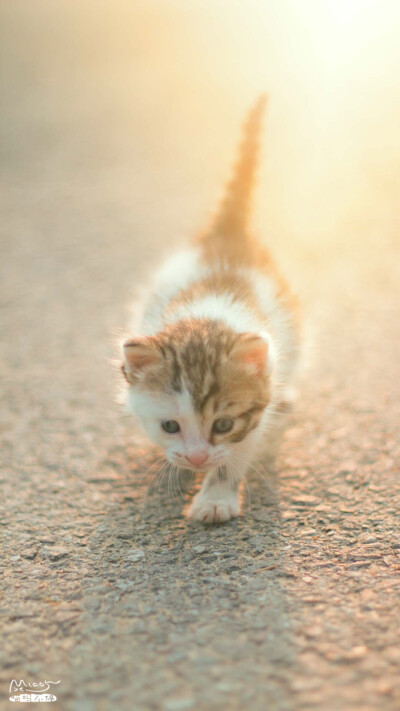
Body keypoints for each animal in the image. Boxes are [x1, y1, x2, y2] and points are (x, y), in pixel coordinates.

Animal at [122, 96, 300, 524]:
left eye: (223, 423)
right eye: (170, 425)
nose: (197, 458)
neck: (203, 317)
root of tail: (227, 232)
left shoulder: (253, 417)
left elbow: (235, 454)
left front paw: (215, 498)